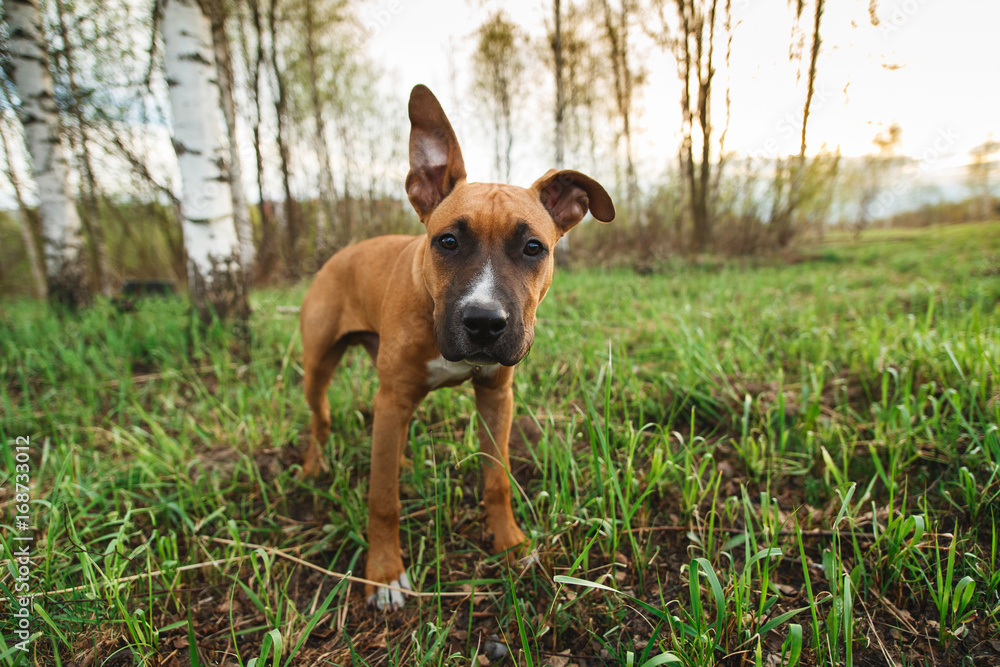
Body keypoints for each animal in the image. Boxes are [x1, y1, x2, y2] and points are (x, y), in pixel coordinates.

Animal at [298, 86, 608, 612]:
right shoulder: (392, 397)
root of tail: (339, 254)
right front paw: (384, 573)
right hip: (319, 363)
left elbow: (497, 478)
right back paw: (314, 465)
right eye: (447, 242)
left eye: (533, 248)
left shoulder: (497, 396)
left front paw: (509, 544)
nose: (484, 322)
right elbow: (382, 499)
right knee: (320, 417)